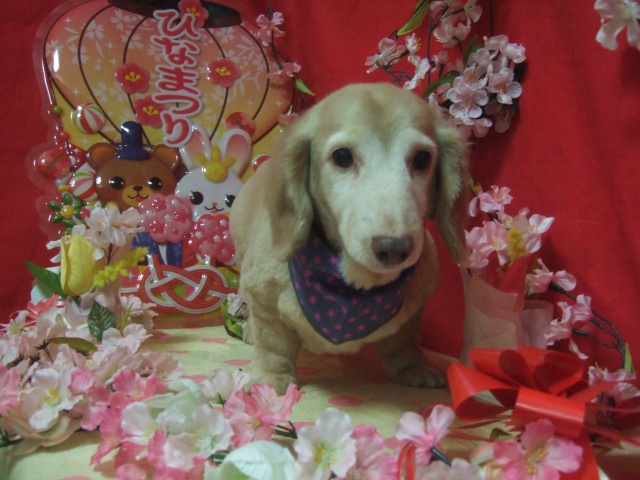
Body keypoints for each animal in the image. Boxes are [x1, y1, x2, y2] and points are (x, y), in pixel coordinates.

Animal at [230, 83, 469, 394]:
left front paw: (412, 367)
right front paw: (271, 378)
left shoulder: (417, 304)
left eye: (422, 159)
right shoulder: (263, 298)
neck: (353, 283)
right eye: (342, 157)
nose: (395, 248)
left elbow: (404, 340)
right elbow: (273, 343)